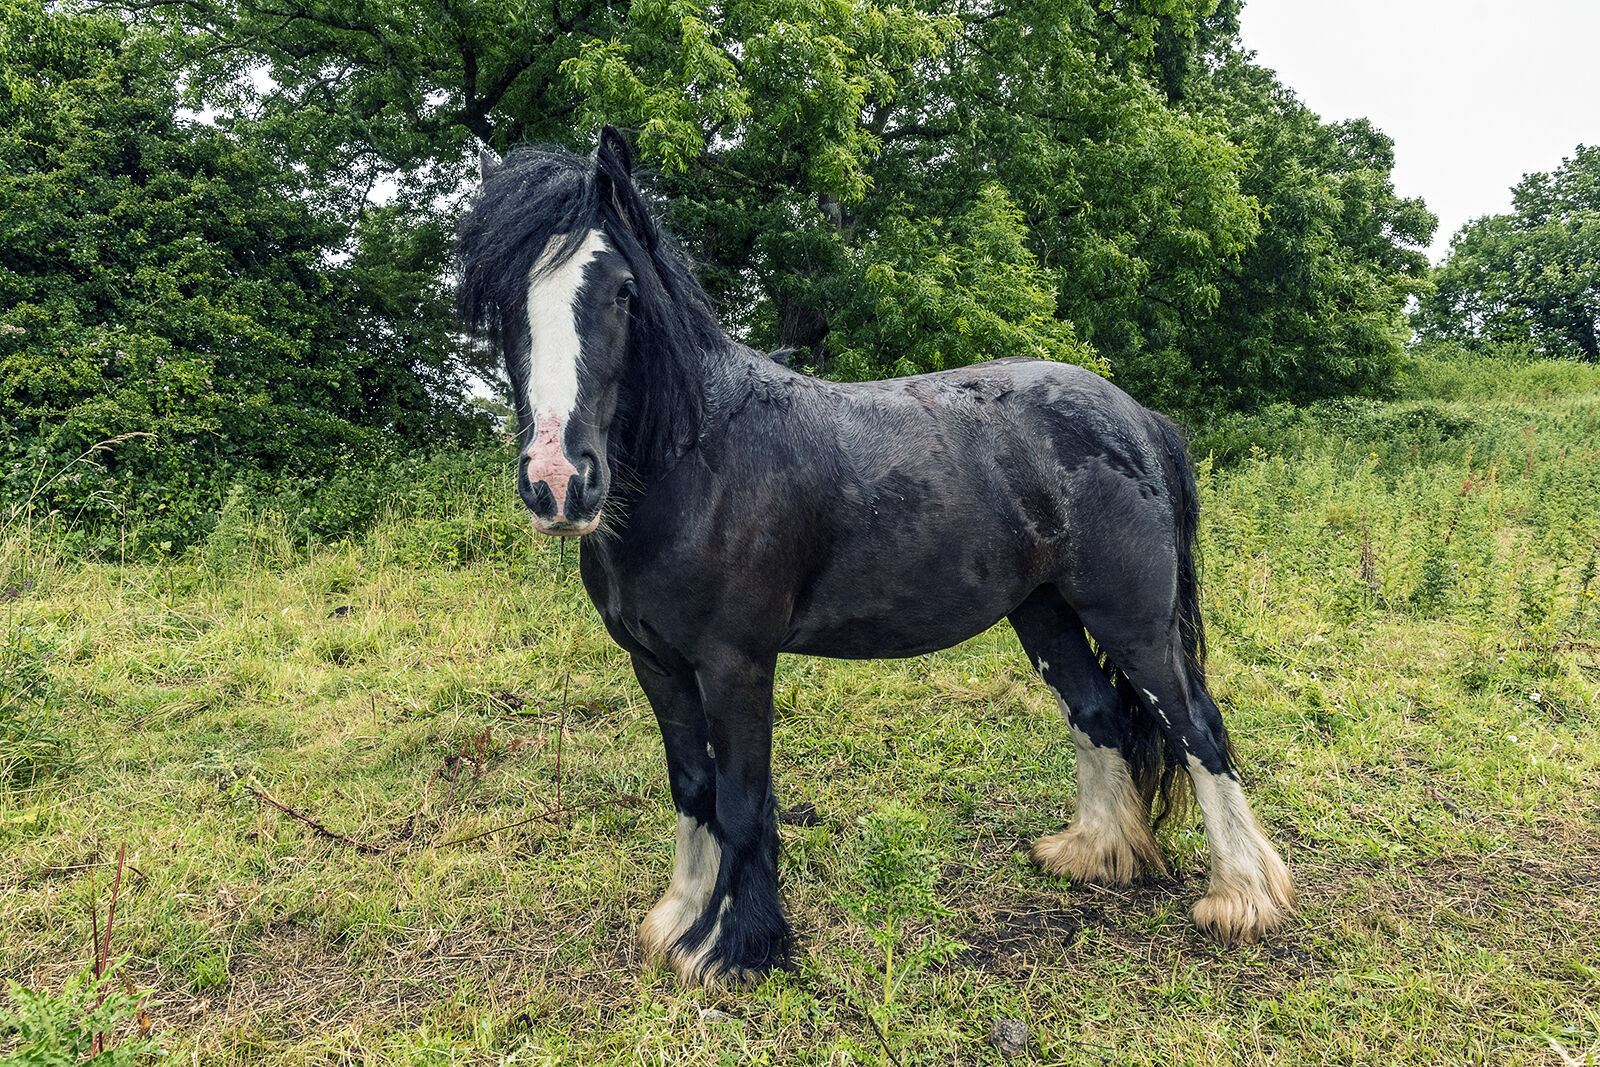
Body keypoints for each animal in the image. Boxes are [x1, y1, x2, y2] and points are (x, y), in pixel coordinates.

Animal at [457, 126, 1295, 987]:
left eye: (621, 292)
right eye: (505, 302)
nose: (558, 480)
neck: (701, 460)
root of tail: (1136, 415)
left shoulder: (735, 663)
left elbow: (741, 798)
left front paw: (741, 948)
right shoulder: (655, 662)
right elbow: (691, 787)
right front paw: (682, 924)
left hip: (1132, 618)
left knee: (1197, 727)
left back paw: (1241, 897)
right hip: (1044, 612)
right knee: (1095, 710)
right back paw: (1094, 853)